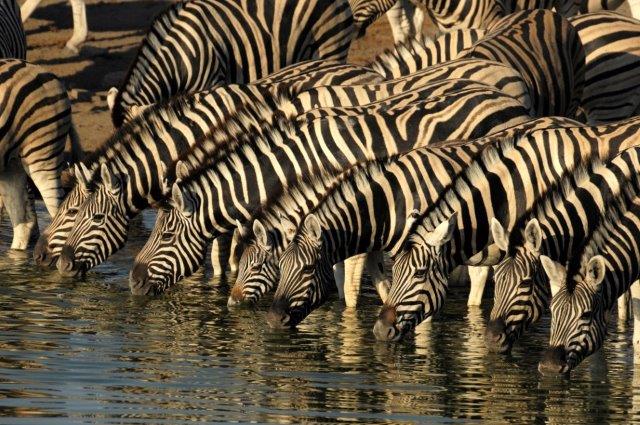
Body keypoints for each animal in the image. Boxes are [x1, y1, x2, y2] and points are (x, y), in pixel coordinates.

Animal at [258, 117, 584, 326]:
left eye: (307, 269)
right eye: (279, 266)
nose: (271, 320)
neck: (388, 204)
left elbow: (355, 287)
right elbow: (382, 288)